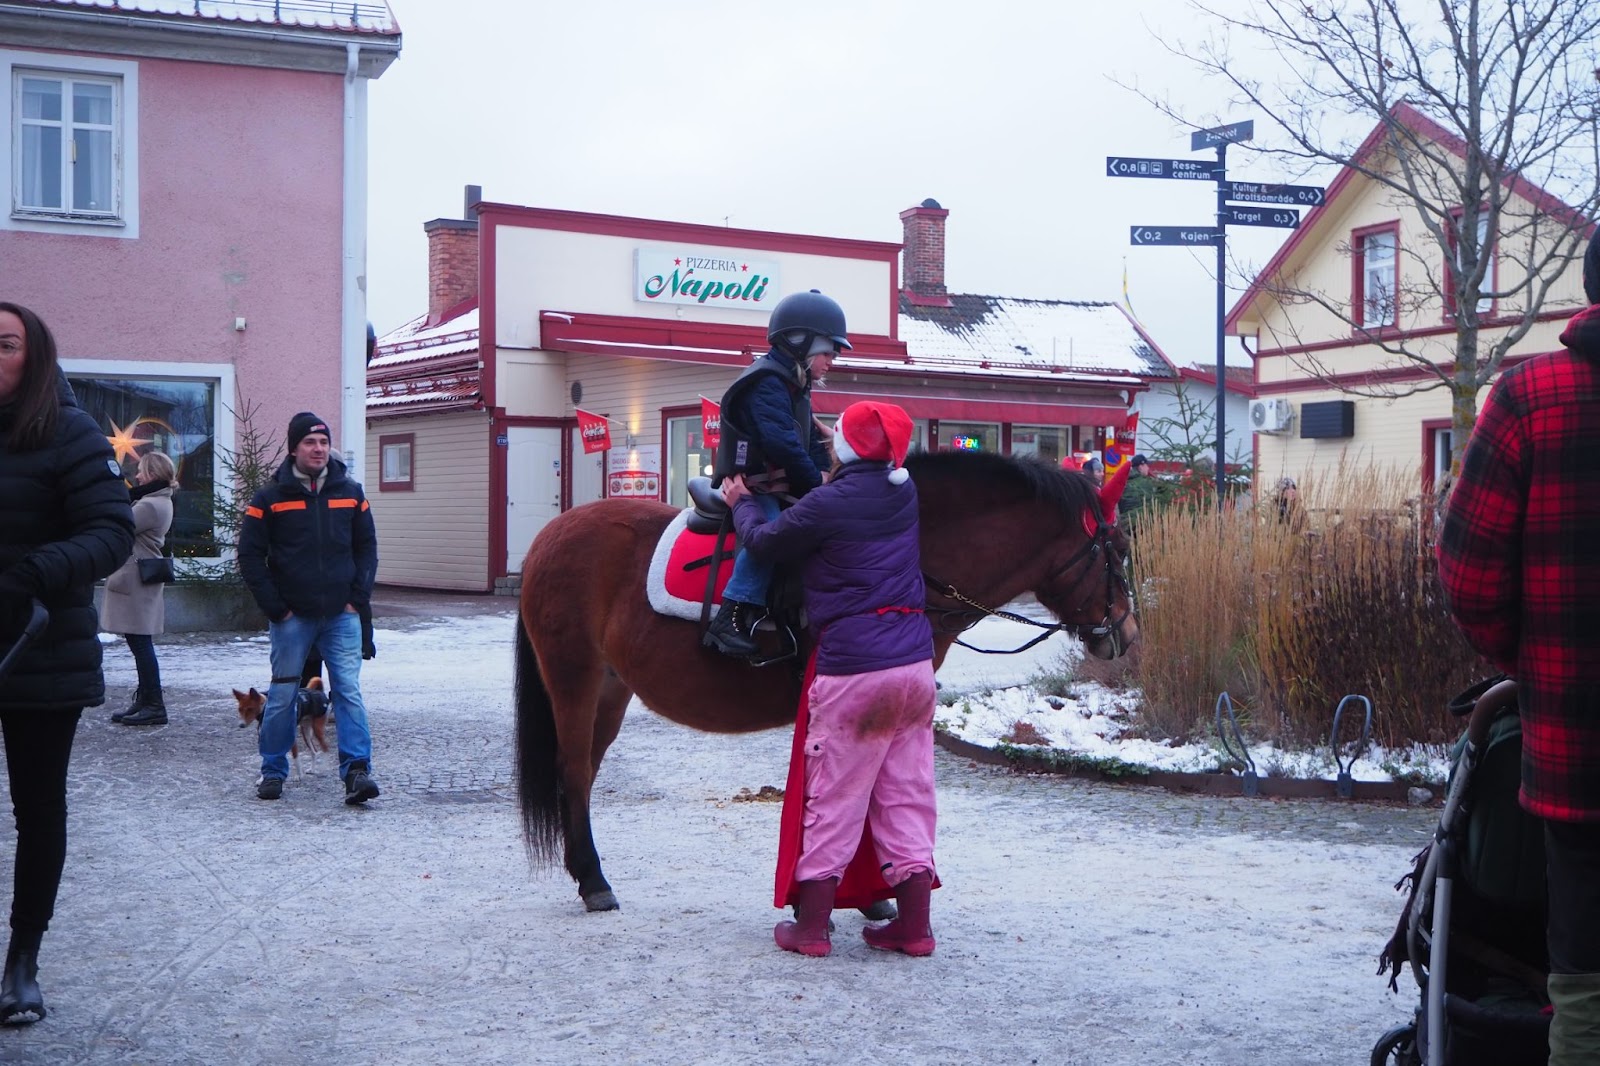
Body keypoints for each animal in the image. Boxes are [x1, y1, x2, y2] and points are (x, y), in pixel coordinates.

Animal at [512, 444, 1139, 909]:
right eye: (1119, 547)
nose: (1128, 634)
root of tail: (551, 535)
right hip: (574, 678)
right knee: (574, 769)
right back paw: (594, 882)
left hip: (611, 688)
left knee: (586, 771)